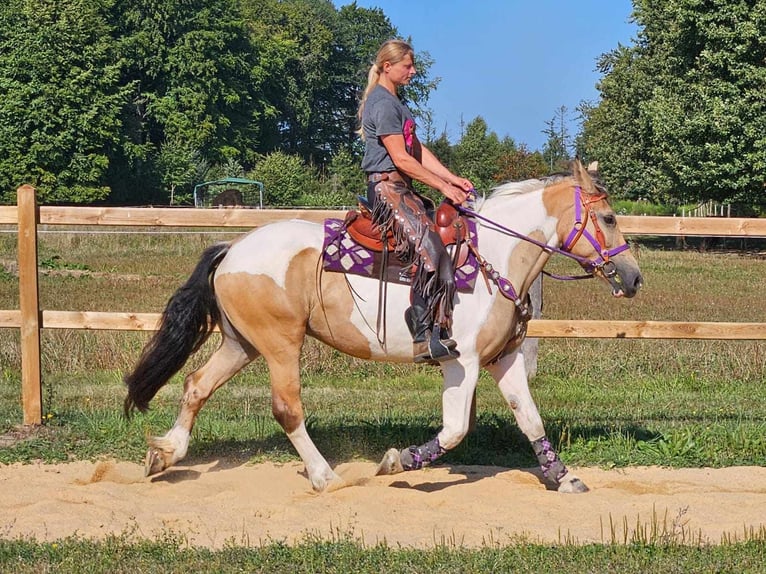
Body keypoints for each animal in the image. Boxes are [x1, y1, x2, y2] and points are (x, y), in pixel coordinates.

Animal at [124, 161, 640, 496]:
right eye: (609, 217)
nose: (633, 277)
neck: (495, 255)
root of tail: (232, 249)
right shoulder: (462, 363)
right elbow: (455, 429)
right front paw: (397, 461)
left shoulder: (503, 358)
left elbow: (529, 418)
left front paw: (563, 477)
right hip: (279, 344)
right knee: (287, 409)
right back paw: (324, 477)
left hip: (242, 344)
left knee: (196, 385)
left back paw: (165, 454)